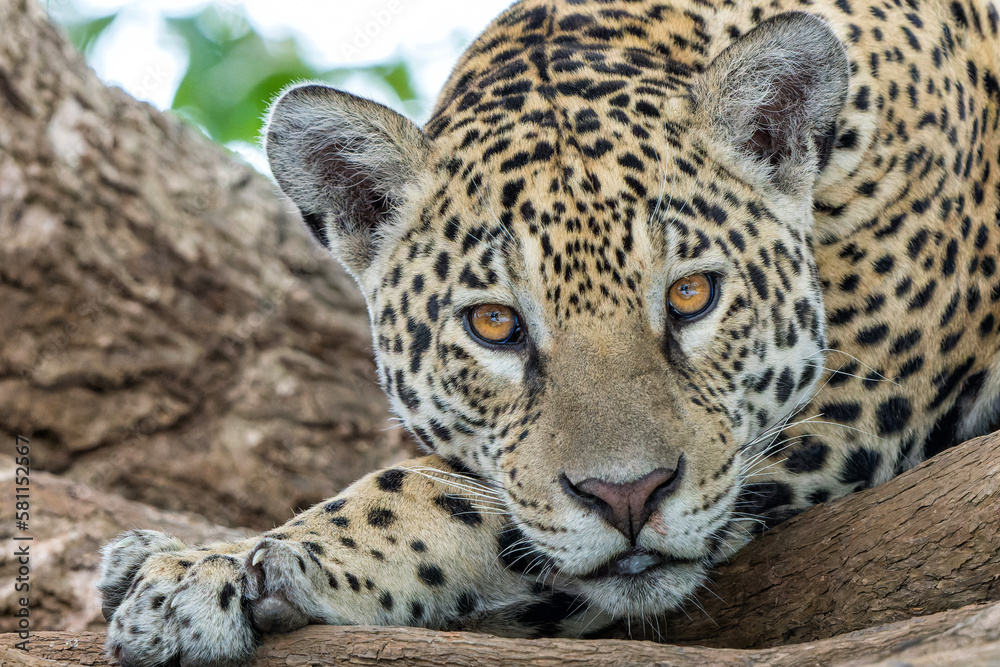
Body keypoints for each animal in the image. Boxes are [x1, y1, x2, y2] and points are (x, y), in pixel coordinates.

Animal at [98, 0, 1000, 664]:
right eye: (495, 323)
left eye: (693, 294)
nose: (629, 497)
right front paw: (161, 553)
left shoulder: (849, 407)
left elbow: (435, 492)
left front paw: (207, 572)